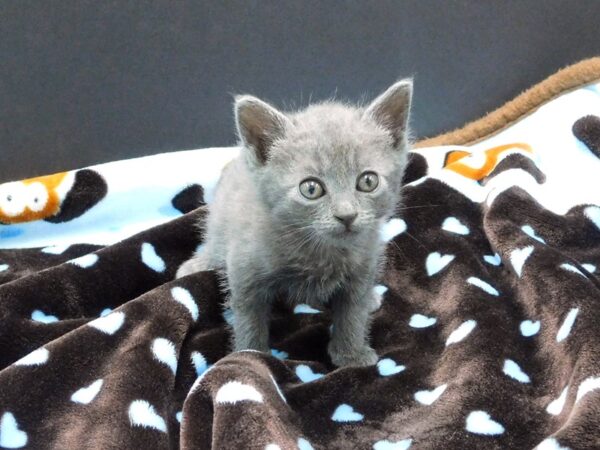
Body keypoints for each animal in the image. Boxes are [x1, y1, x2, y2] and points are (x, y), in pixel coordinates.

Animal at [177, 81, 412, 368]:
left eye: (368, 181)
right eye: (311, 188)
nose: (346, 215)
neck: (318, 251)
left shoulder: (364, 265)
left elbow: (353, 312)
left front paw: (351, 354)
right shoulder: (245, 270)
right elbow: (248, 318)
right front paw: (250, 355)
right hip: (220, 227)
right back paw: (192, 267)